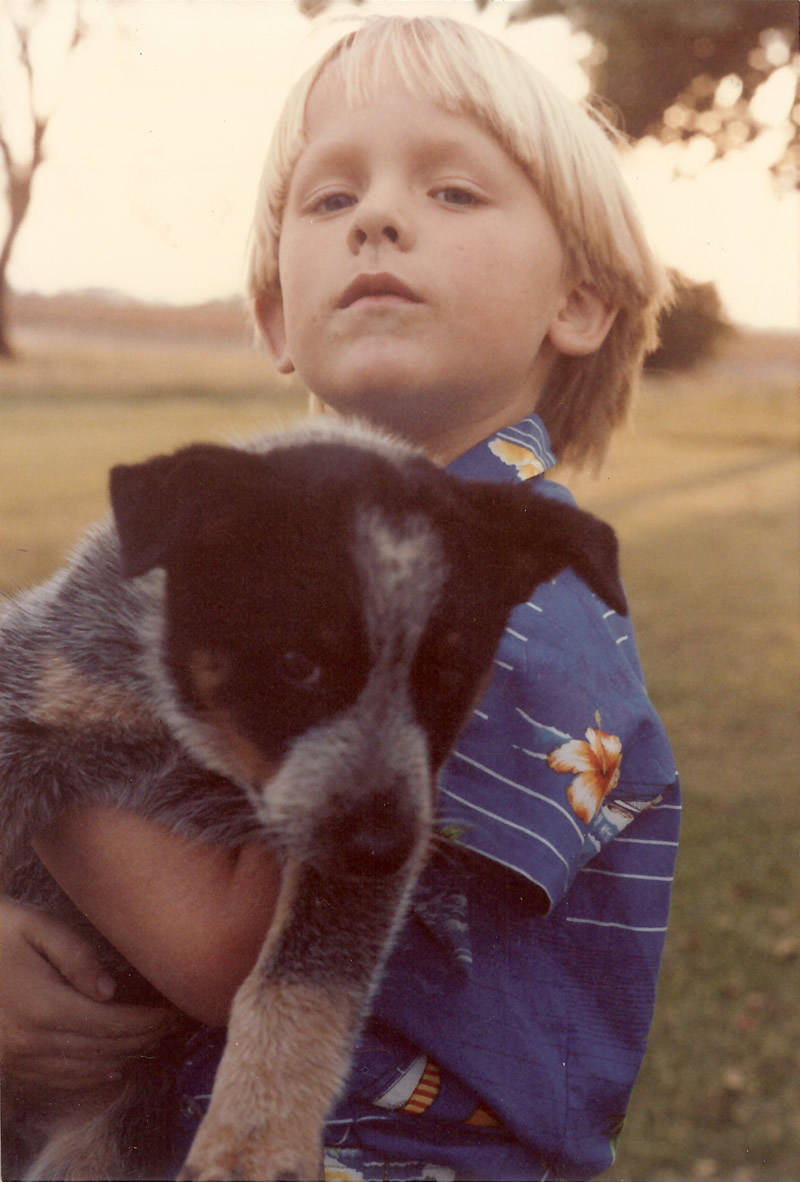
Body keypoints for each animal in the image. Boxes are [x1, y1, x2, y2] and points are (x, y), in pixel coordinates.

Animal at [0, 413, 623, 1172]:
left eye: (447, 677)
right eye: (299, 664)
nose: (386, 848)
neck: (195, 738)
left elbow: (305, 978)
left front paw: (257, 1139)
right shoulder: (40, 697)